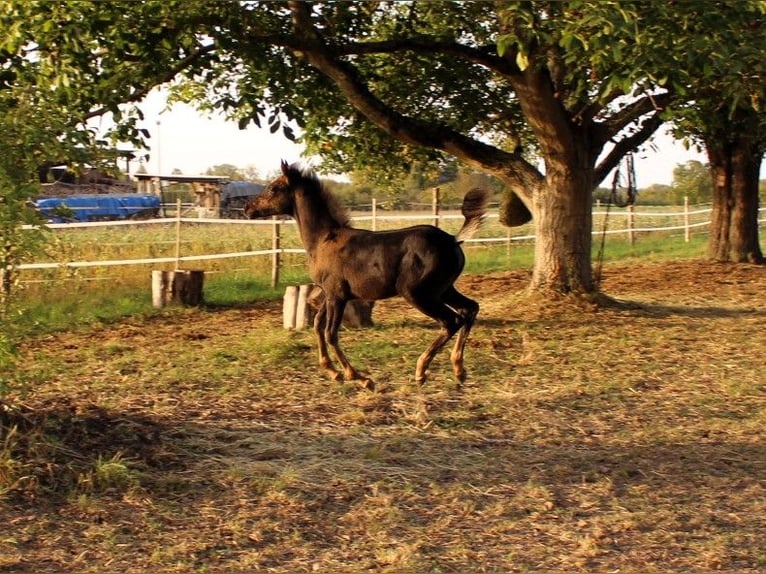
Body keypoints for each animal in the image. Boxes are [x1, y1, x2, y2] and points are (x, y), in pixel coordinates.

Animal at [243, 162, 488, 388]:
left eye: (273, 188)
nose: (247, 208)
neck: (323, 239)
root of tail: (452, 240)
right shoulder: (328, 293)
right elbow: (318, 325)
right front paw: (332, 371)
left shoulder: (337, 295)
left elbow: (331, 332)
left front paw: (360, 378)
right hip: (444, 289)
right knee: (469, 309)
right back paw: (459, 370)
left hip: (418, 293)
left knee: (451, 320)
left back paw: (421, 370)